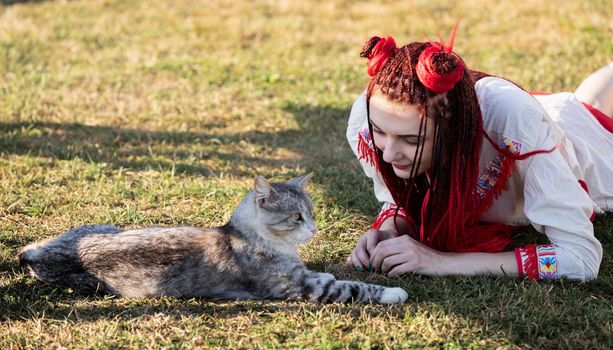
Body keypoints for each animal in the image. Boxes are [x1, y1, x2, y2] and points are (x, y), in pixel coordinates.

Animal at [19, 174, 408, 304]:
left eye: (312, 213)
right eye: (297, 217)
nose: (314, 229)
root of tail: (37, 256)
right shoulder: (302, 287)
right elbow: (352, 287)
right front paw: (393, 292)